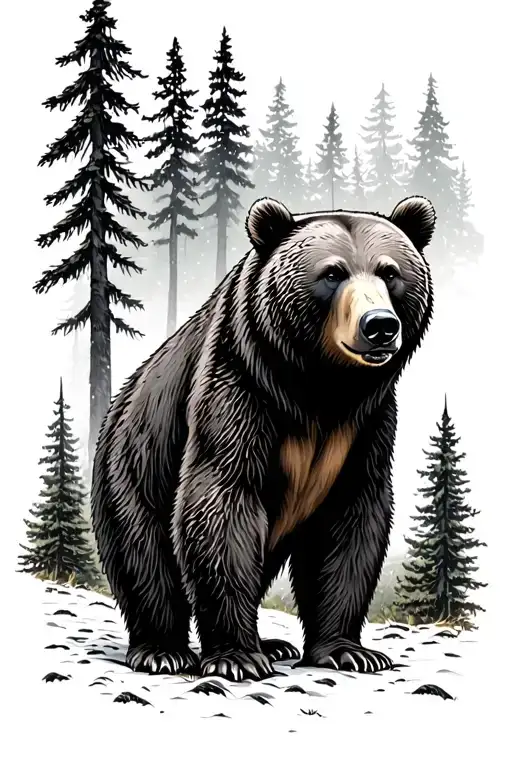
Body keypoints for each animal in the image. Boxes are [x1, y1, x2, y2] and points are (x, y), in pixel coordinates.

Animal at [91, 195, 435, 683]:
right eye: (332, 273)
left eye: (390, 272)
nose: (380, 325)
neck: (320, 390)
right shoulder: (239, 386)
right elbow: (221, 499)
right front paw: (237, 657)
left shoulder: (365, 426)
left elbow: (349, 520)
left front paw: (350, 650)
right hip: (133, 467)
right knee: (144, 558)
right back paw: (162, 650)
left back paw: (274, 644)